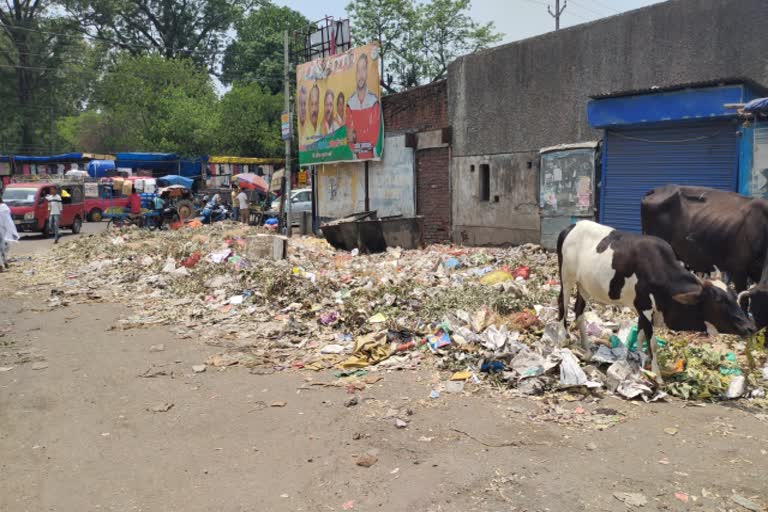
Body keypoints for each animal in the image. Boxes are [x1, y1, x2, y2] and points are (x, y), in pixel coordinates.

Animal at [556, 218, 752, 382]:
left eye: (734, 297)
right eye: (719, 300)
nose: (750, 327)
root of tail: (570, 227)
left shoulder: (644, 311)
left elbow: (641, 337)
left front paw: (638, 364)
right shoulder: (645, 307)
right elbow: (652, 343)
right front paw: (657, 376)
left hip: (583, 285)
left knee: (579, 311)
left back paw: (587, 351)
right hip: (566, 277)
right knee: (562, 306)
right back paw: (562, 341)